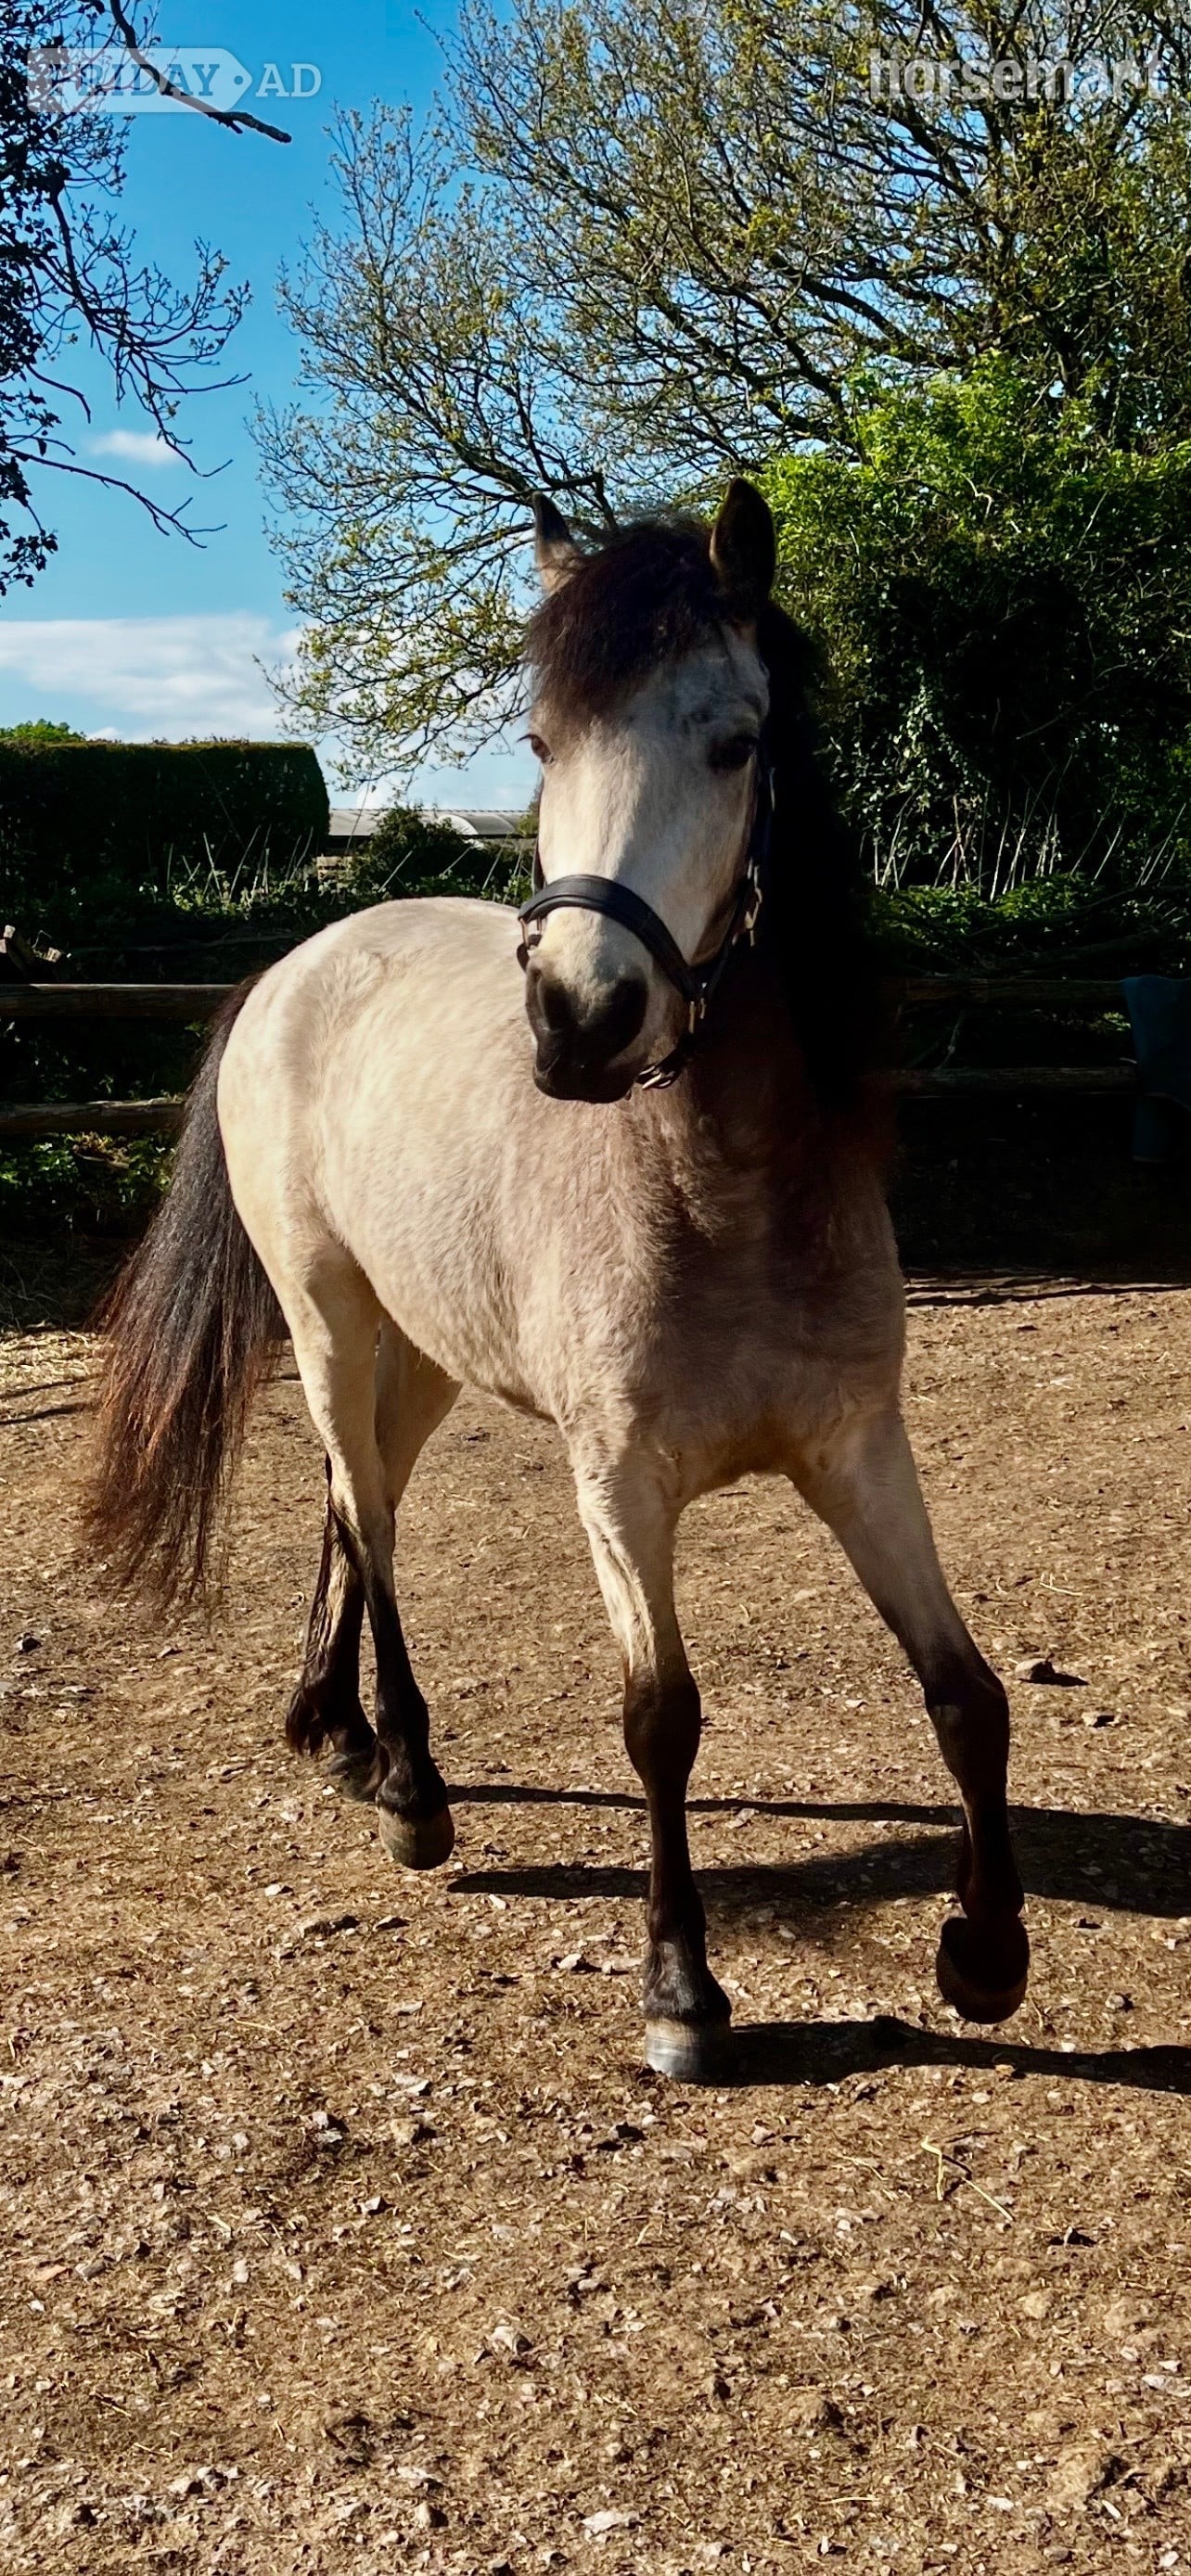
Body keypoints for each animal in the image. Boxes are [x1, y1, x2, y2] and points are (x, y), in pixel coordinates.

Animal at [86, 479, 1029, 2080]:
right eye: (540, 743)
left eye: (735, 739)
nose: (583, 1016)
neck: (720, 1191)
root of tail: (294, 967)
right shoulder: (620, 1484)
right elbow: (663, 1718)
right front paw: (684, 1993)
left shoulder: (859, 1450)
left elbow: (967, 1693)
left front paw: (985, 1951)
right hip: (328, 1320)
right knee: (371, 1522)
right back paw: (410, 1785)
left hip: (420, 1352)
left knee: (355, 1496)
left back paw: (334, 1731)